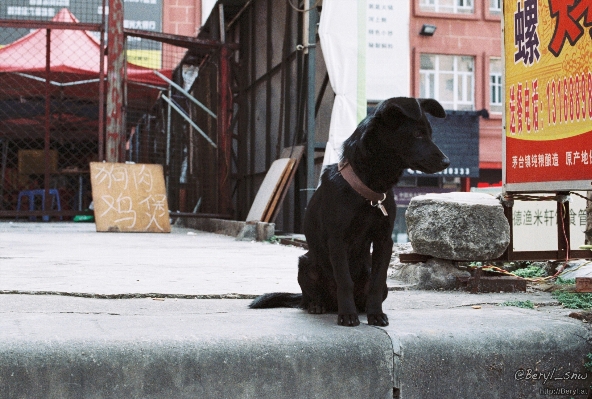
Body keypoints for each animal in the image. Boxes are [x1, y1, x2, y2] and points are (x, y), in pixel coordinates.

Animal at [250, 97, 448, 328]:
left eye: (430, 133)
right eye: (417, 134)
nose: (447, 162)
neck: (367, 189)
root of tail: (331, 303)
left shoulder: (384, 241)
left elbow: (377, 281)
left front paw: (375, 314)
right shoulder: (337, 240)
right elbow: (345, 280)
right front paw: (347, 315)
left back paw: (360, 309)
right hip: (306, 263)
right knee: (309, 298)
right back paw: (318, 306)